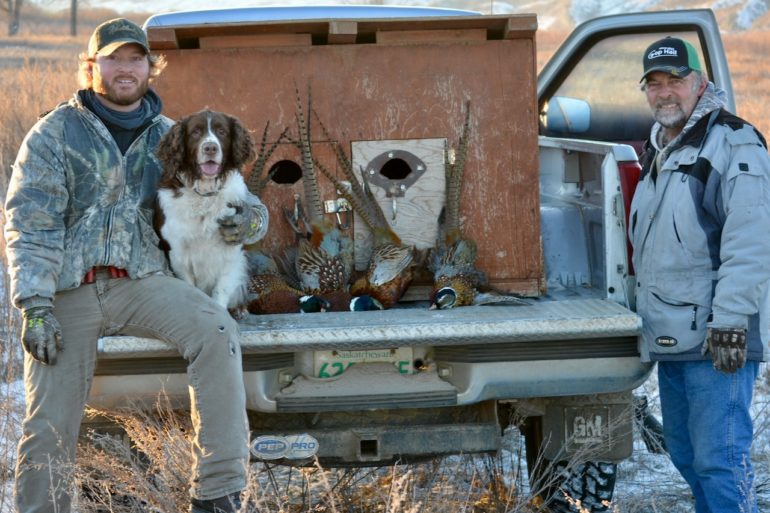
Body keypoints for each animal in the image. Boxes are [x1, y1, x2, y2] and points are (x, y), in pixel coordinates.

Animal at [155, 109, 259, 315]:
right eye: (195, 132)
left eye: (222, 131)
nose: (210, 148)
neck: (205, 194)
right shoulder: (178, 253)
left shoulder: (231, 250)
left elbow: (221, 291)